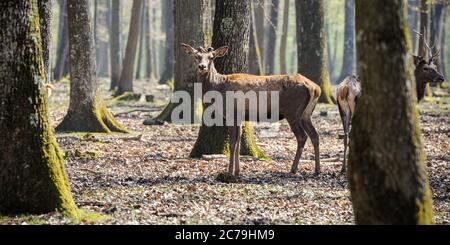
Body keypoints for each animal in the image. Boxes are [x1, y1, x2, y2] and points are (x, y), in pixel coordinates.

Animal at [181, 43, 322, 179]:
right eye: (196, 56)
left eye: (211, 57)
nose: (202, 67)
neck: (219, 87)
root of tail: (316, 88)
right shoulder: (240, 117)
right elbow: (238, 144)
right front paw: (237, 171)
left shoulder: (232, 114)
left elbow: (232, 144)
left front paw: (229, 172)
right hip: (306, 114)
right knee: (315, 135)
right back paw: (317, 170)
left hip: (292, 112)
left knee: (302, 136)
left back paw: (293, 169)